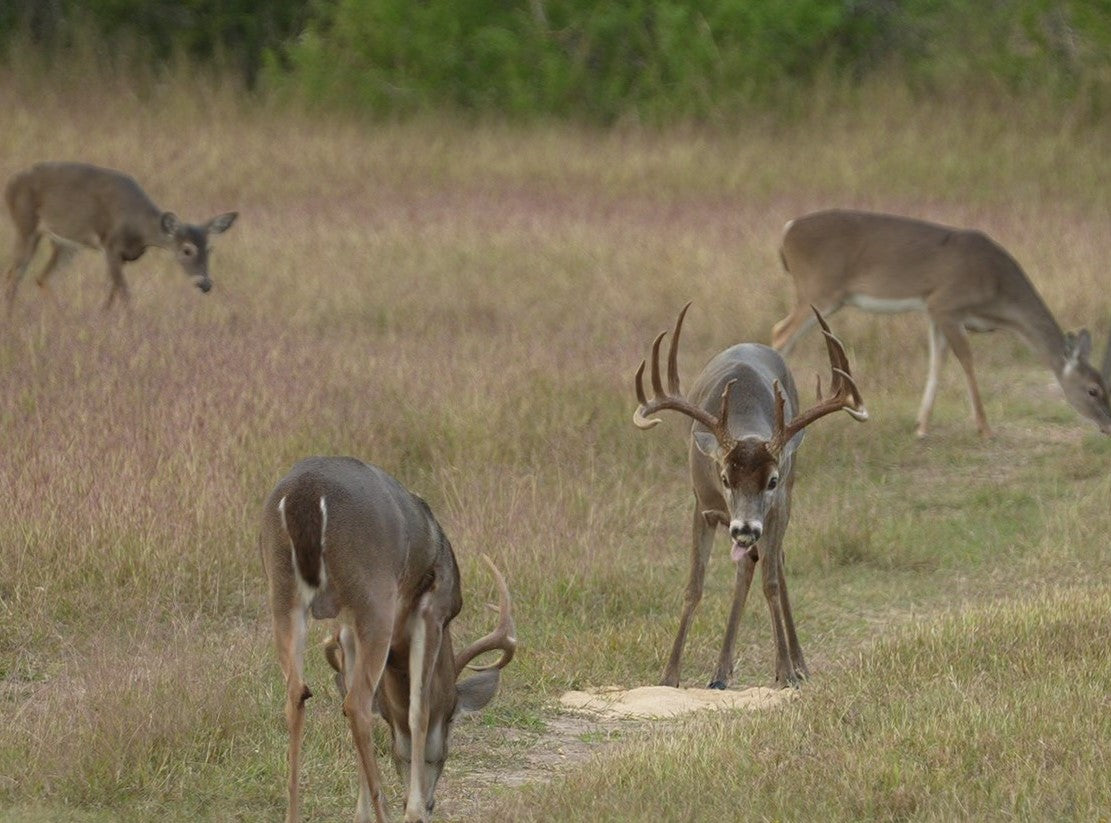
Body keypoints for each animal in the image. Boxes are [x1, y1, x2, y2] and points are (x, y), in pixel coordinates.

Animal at [4, 162, 236, 308]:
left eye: (210, 249)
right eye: (187, 250)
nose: (205, 284)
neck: (139, 227)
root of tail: (10, 184)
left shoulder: (122, 255)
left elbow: (113, 292)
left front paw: (105, 318)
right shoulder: (111, 245)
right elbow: (124, 293)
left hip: (66, 243)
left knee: (41, 277)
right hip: (26, 225)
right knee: (14, 274)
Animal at [259, 455, 515, 821]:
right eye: (452, 716)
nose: (431, 802)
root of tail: (306, 494)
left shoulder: (347, 629)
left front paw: (362, 813)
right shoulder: (432, 611)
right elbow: (418, 707)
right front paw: (413, 810)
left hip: (282, 591)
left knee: (298, 693)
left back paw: (294, 813)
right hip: (373, 594)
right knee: (356, 703)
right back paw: (386, 811)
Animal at [635, 302, 866, 688]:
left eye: (771, 480)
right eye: (724, 478)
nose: (745, 529)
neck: (743, 414)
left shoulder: (777, 506)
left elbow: (770, 581)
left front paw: (786, 671)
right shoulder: (702, 506)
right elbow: (694, 586)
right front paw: (669, 675)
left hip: (784, 500)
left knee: (769, 565)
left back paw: (791, 664)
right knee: (750, 566)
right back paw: (720, 673)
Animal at [773, 208, 1111, 437]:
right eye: (1093, 390)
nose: (1108, 425)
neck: (998, 294)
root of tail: (787, 230)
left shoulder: (933, 311)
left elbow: (937, 362)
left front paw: (921, 426)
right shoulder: (946, 304)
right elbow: (967, 360)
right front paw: (984, 428)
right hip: (820, 289)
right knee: (780, 333)